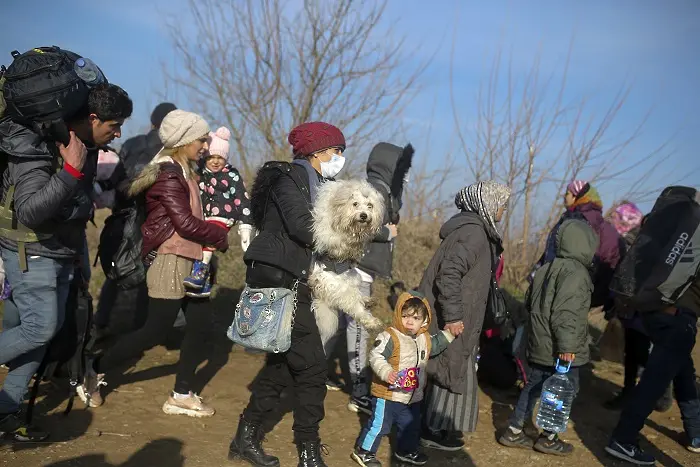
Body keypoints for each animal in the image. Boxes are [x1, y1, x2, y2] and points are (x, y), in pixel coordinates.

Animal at [310, 179, 386, 348]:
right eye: (355, 204)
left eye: (370, 205)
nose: (364, 216)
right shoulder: (326, 231)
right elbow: (334, 239)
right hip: (339, 288)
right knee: (356, 308)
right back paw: (373, 322)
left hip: (353, 277)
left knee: (358, 295)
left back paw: (367, 300)